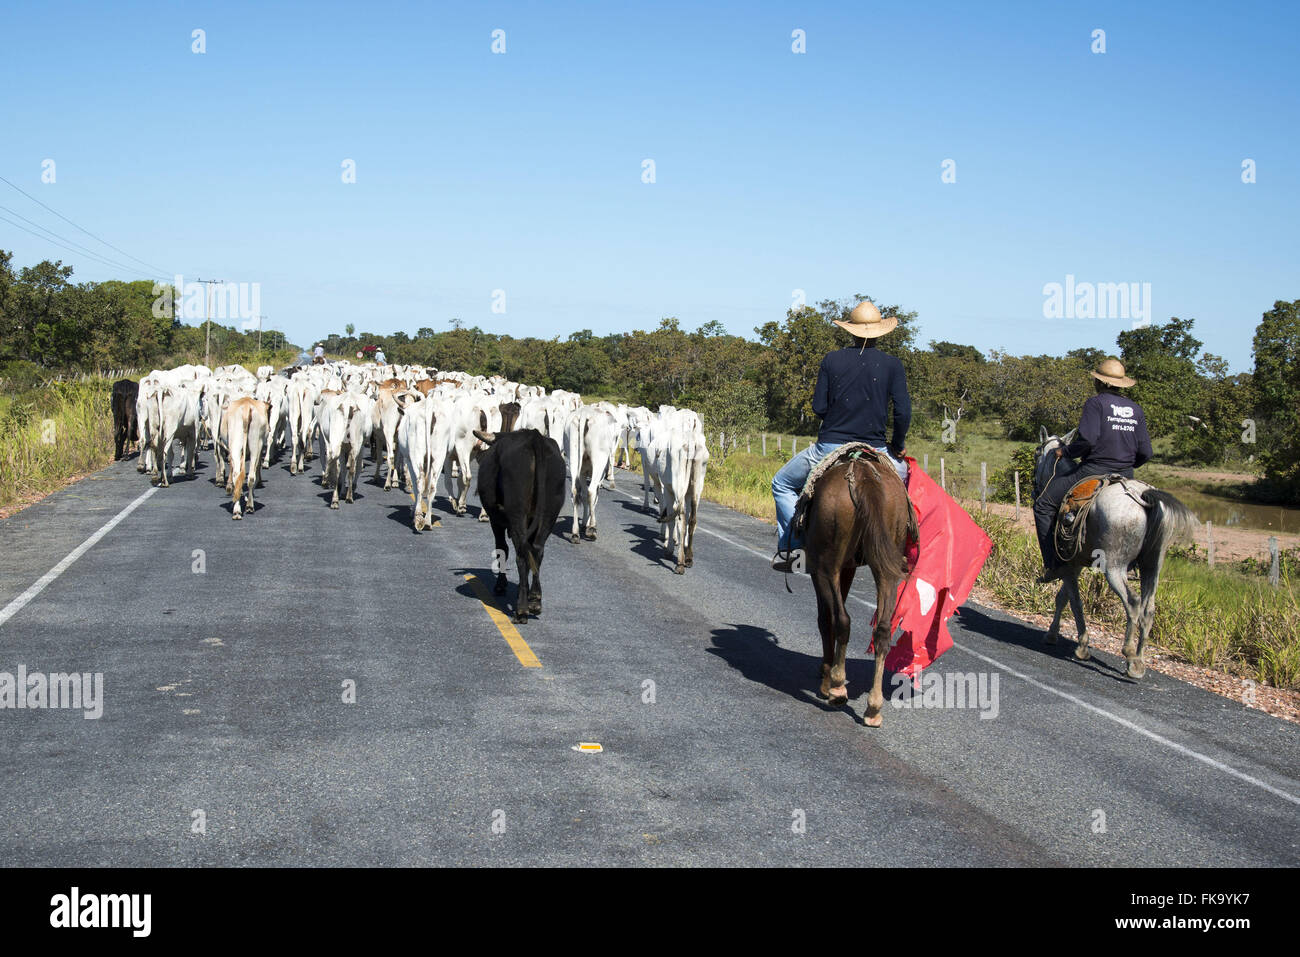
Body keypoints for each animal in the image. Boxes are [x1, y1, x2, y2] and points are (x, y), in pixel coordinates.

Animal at [473, 429, 564, 624]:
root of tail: (534, 437)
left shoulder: (496, 521)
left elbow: (502, 549)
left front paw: (501, 586)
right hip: (549, 513)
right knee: (537, 550)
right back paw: (535, 600)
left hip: (517, 513)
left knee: (521, 554)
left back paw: (521, 610)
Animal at [800, 452, 915, 728]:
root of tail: (862, 474)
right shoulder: (849, 567)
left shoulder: (820, 569)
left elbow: (825, 619)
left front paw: (826, 678)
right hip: (886, 567)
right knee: (883, 630)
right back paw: (873, 708)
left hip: (826, 566)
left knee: (842, 619)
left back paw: (837, 687)